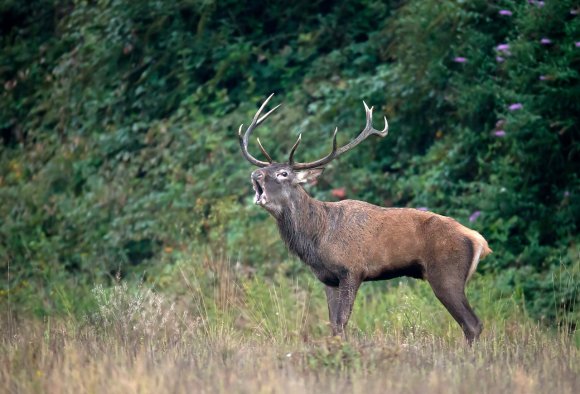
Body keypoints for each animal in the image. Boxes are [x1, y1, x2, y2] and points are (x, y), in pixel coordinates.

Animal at [238, 94, 492, 344]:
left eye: (283, 173)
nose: (255, 174)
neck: (317, 236)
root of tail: (478, 240)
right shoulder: (328, 279)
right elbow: (334, 325)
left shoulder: (352, 269)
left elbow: (342, 321)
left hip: (446, 274)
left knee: (472, 324)